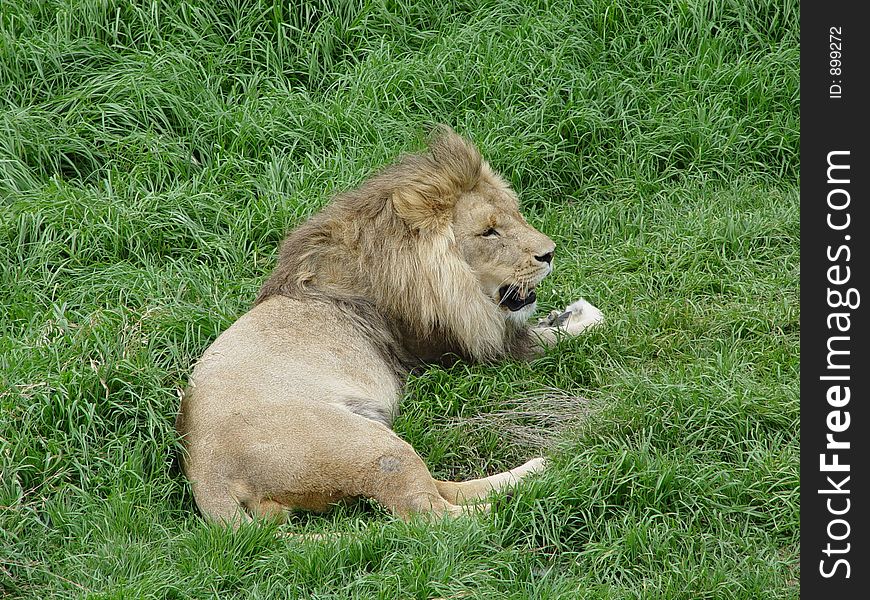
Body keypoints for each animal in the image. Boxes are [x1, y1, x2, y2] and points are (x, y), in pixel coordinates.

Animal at [174, 126, 604, 524]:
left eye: (515, 216)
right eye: (489, 231)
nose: (549, 253)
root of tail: (206, 475)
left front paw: (566, 313)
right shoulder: (455, 352)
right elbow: (556, 337)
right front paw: (581, 320)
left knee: (440, 488)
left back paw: (542, 468)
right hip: (366, 447)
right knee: (430, 514)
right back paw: (528, 497)